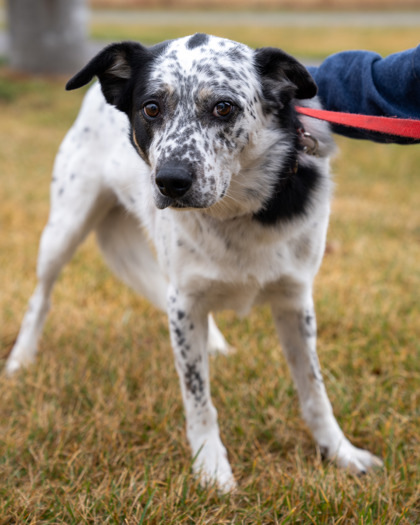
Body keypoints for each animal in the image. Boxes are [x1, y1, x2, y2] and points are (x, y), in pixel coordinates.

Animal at [6, 33, 382, 492]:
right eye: (151, 108)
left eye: (223, 107)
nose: (170, 181)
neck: (236, 213)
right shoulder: (184, 302)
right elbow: (198, 398)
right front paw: (212, 469)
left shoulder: (294, 301)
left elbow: (314, 391)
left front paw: (340, 452)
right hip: (64, 229)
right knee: (40, 297)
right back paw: (21, 359)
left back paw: (216, 345)